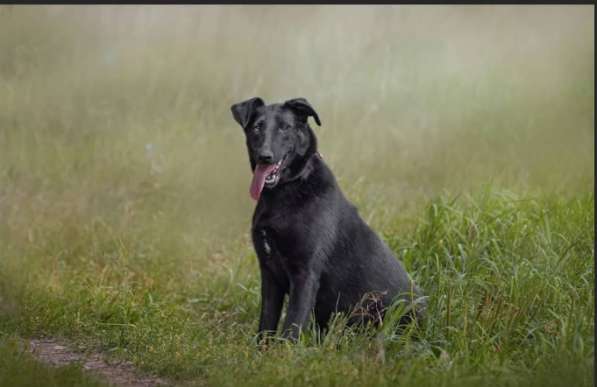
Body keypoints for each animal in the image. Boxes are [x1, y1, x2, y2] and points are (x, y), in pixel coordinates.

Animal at [229, 98, 424, 342]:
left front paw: (283, 352)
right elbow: (266, 325)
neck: (285, 191)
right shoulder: (269, 274)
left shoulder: (305, 275)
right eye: (257, 127)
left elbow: (292, 326)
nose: (265, 156)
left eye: (285, 127)